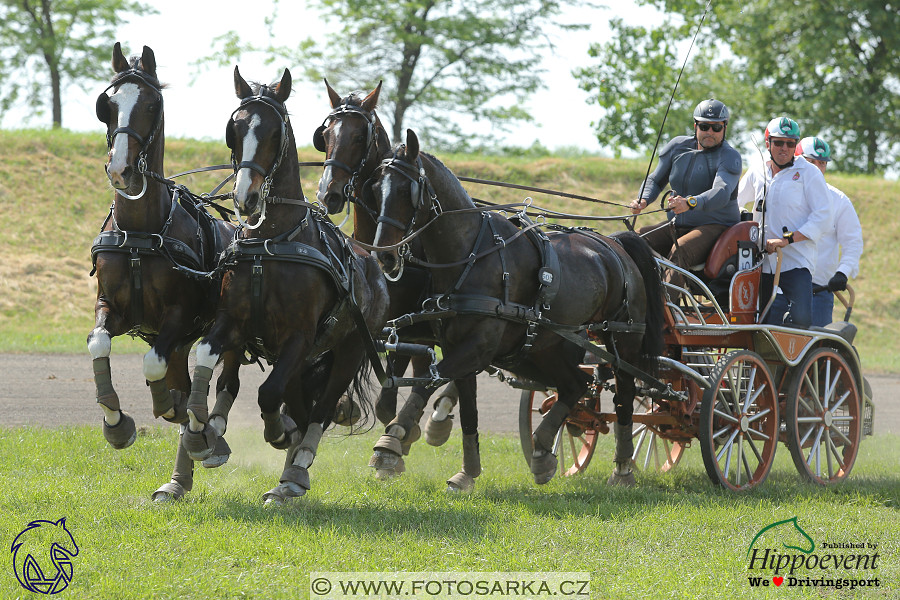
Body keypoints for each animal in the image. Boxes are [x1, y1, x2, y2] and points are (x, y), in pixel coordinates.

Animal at [90, 43, 239, 502]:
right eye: (107, 104)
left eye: (152, 104)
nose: (120, 170)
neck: (142, 232)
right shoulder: (113, 307)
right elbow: (98, 343)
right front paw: (117, 425)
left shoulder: (180, 318)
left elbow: (155, 367)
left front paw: (168, 407)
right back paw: (178, 480)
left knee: (222, 384)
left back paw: (207, 439)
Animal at [183, 65, 390, 504]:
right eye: (234, 128)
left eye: (274, 133)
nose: (244, 197)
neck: (273, 241)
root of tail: (369, 258)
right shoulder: (232, 322)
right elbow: (207, 356)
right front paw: (199, 434)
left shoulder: (300, 336)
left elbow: (268, 395)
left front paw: (280, 435)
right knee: (297, 401)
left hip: (348, 349)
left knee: (320, 410)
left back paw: (296, 467)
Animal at [368, 129, 668, 490]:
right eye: (375, 188)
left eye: (407, 190)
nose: (385, 255)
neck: (471, 255)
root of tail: (616, 243)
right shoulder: (458, 348)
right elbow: (466, 409)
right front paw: (467, 472)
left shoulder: (478, 347)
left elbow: (428, 379)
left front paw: (391, 443)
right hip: (543, 347)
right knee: (576, 385)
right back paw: (542, 449)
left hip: (622, 339)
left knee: (624, 392)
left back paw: (623, 467)